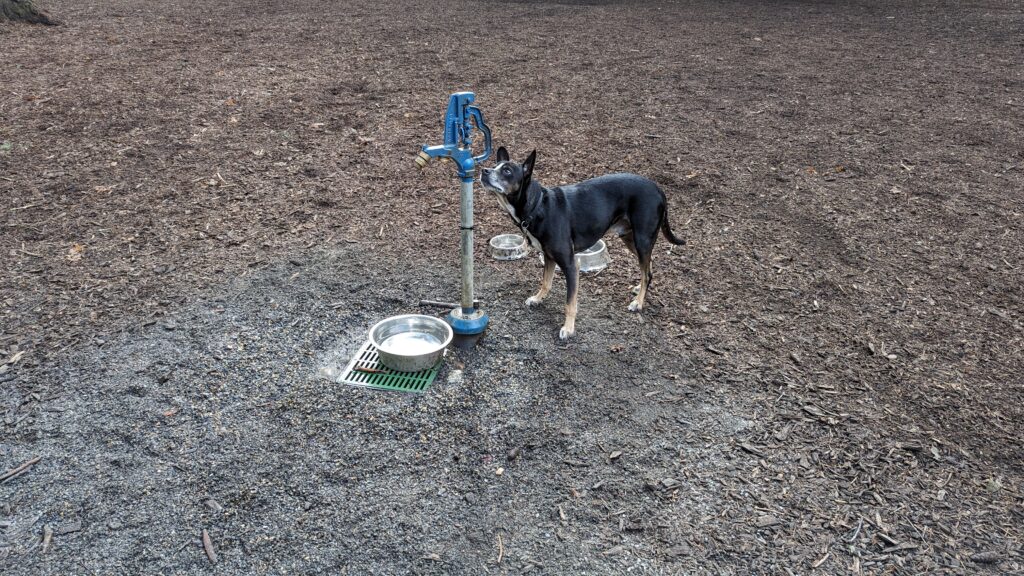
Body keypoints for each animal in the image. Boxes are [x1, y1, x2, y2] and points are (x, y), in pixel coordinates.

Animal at [481, 145, 688, 338]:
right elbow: (546, 282)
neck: (537, 205)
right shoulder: (549, 257)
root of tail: (658, 189)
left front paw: (568, 328)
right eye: (495, 166)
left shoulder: (571, 264)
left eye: (507, 170)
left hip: (642, 239)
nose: (484, 171)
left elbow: (569, 303)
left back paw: (638, 302)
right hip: (630, 238)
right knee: (648, 269)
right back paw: (640, 290)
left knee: (646, 272)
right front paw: (538, 299)